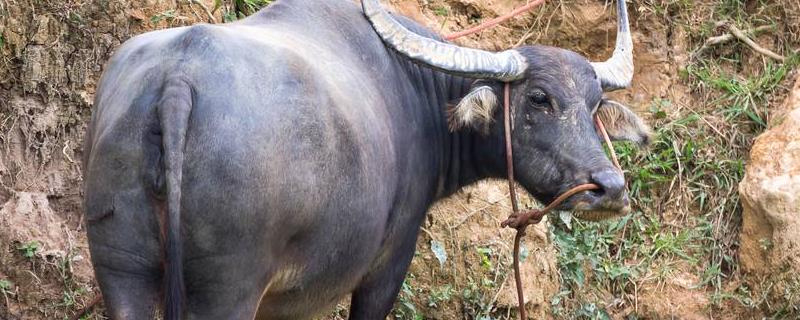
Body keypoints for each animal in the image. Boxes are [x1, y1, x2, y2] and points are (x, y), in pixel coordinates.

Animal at [83, 0, 648, 318]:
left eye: (595, 105)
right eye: (539, 99)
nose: (610, 188)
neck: (416, 90)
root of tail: (178, 79)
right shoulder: (386, 265)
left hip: (122, 271)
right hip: (225, 290)